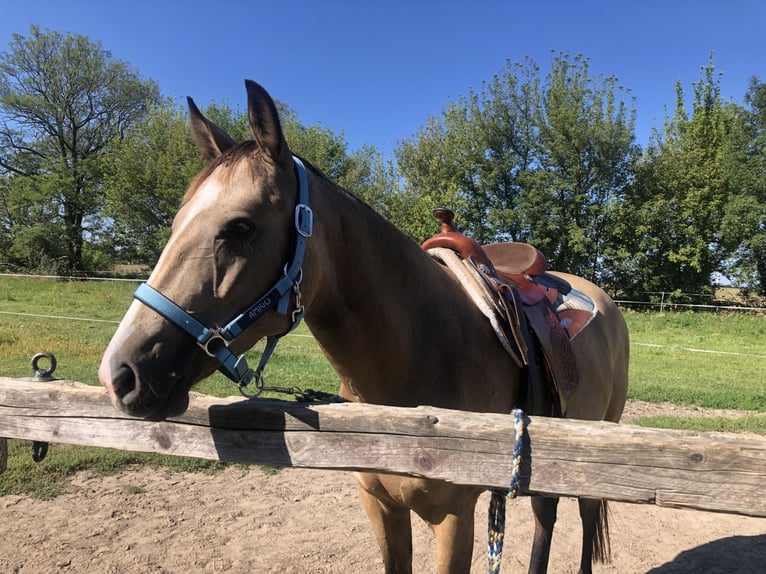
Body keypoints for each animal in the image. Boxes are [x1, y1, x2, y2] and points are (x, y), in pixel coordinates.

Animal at [100, 81, 632, 574]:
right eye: (176, 223)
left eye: (240, 228)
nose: (119, 374)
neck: (421, 352)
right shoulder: (380, 506)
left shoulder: (454, 519)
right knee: (546, 516)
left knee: (581, 516)